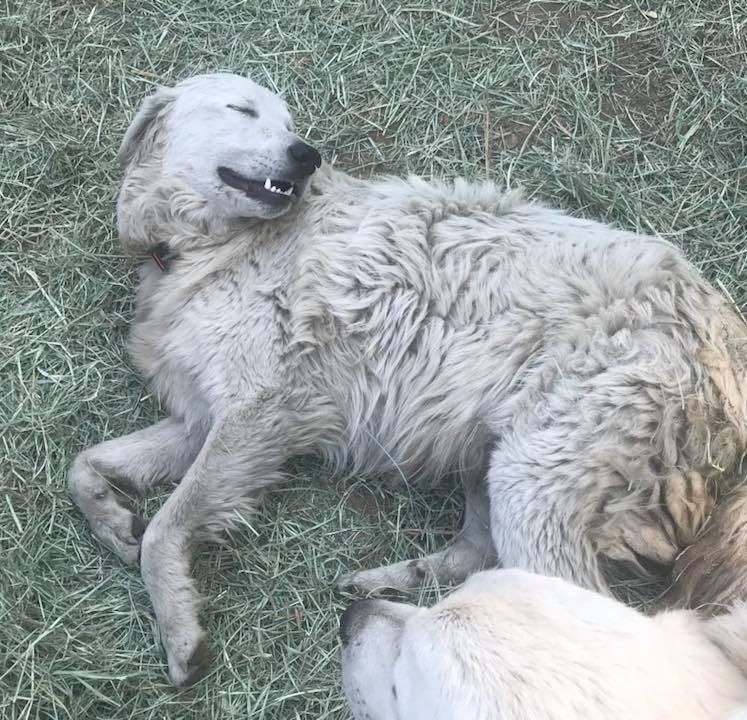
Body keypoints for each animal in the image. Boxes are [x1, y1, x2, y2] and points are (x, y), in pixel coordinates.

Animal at [67, 74, 747, 688]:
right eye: (241, 109)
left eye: (288, 122)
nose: (306, 154)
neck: (207, 246)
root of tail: (727, 339)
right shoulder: (206, 420)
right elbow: (83, 466)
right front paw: (112, 521)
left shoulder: (258, 413)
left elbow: (168, 525)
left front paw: (178, 628)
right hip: (492, 454)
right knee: (479, 553)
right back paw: (394, 585)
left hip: (536, 477)